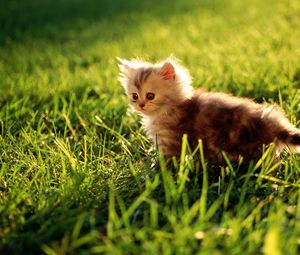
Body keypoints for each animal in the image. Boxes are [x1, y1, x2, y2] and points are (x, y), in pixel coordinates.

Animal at [118, 56, 300, 162]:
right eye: (134, 96)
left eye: (150, 96)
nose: (141, 105)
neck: (168, 109)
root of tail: (274, 124)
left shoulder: (171, 142)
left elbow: (166, 163)